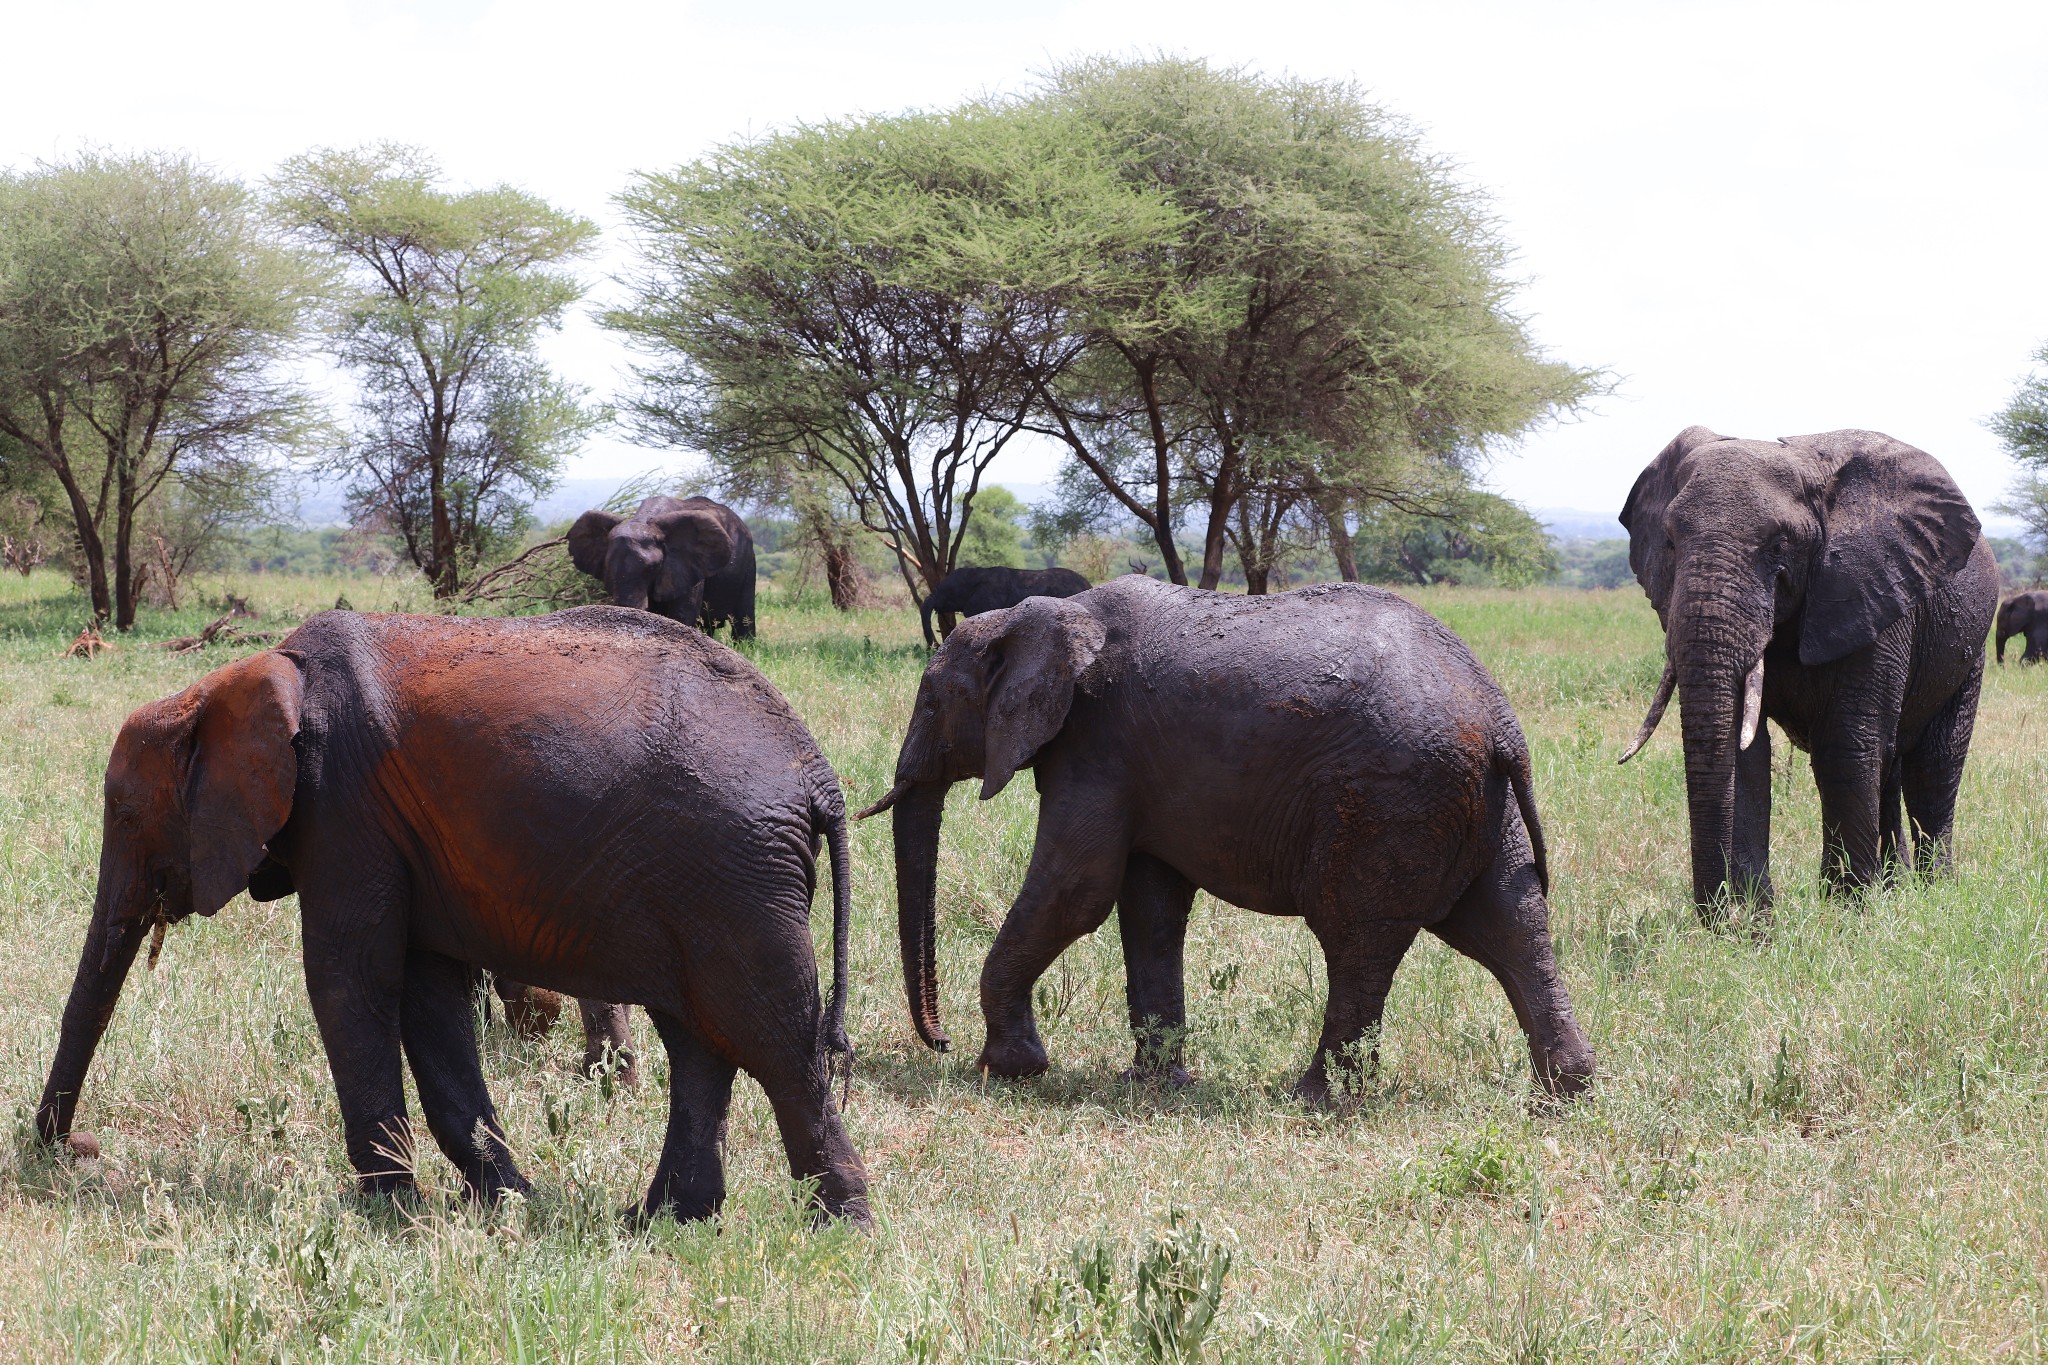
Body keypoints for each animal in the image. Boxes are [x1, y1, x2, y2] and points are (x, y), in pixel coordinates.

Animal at [34, 609, 864, 1227]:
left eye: (124, 813)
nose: (69, 1148)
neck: (234, 680)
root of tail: (816, 772)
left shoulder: (344, 808)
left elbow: (347, 978)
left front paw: (388, 1212)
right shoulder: (401, 834)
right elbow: (429, 998)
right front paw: (508, 1204)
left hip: (736, 875)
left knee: (774, 1040)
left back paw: (837, 1227)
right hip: (707, 881)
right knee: (701, 1039)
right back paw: (660, 1220)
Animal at [569, 491, 761, 642]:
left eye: (653, 568)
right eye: (607, 569)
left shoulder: (687, 566)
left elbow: (681, 614)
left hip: (749, 562)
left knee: (744, 616)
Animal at [856, 581, 1589, 1105]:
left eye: (931, 701)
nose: (941, 1041)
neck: (1042, 614)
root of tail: (1500, 720)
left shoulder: (1096, 747)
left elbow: (1077, 889)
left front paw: (1010, 1070)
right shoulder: (1134, 766)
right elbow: (1149, 904)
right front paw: (1153, 1085)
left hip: (1390, 799)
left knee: (1357, 938)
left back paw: (1313, 1099)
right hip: (1474, 805)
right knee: (1510, 924)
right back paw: (1566, 1091)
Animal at [1613, 427, 1998, 916]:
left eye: (1779, 546)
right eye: (1669, 542)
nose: (1716, 915)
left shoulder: (1873, 594)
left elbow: (1846, 745)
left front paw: (1847, 913)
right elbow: (1745, 754)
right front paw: (1756, 921)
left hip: (1971, 648)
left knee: (1934, 766)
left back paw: (1934, 894)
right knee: (1890, 767)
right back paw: (1895, 889)